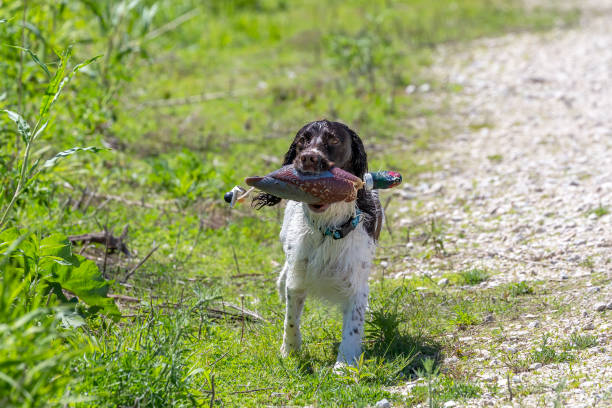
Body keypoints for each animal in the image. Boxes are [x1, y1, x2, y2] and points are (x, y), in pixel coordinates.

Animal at [253, 118, 382, 366]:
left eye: (334, 139)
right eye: (303, 140)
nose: (308, 158)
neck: (328, 230)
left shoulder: (356, 284)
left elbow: (353, 327)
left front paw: (344, 365)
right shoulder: (298, 278)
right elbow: (291, 319)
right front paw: (290, 351)